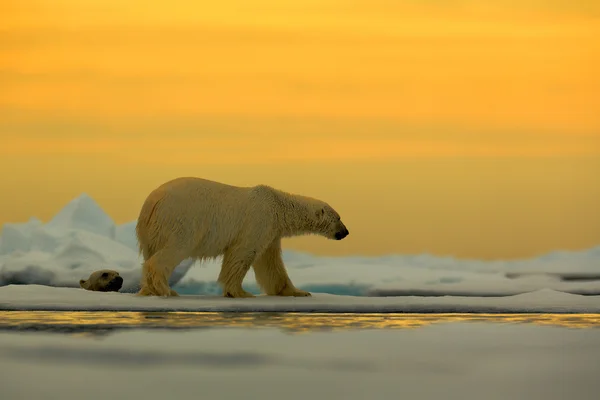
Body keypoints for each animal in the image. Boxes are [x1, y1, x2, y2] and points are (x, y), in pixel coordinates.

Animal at [135, 177, 352, 296]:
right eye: (338, 218)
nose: (346, 232)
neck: (277, 206)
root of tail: (152, 201)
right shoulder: (258, 221)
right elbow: (243, 253)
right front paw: (239, 292)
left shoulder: (271, 231)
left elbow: (270, 263)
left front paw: (298, 292)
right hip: (182, 219)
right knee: (174, 249)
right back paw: (166, 289)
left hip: (151, 231)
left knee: (149, 254)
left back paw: (148, 289)